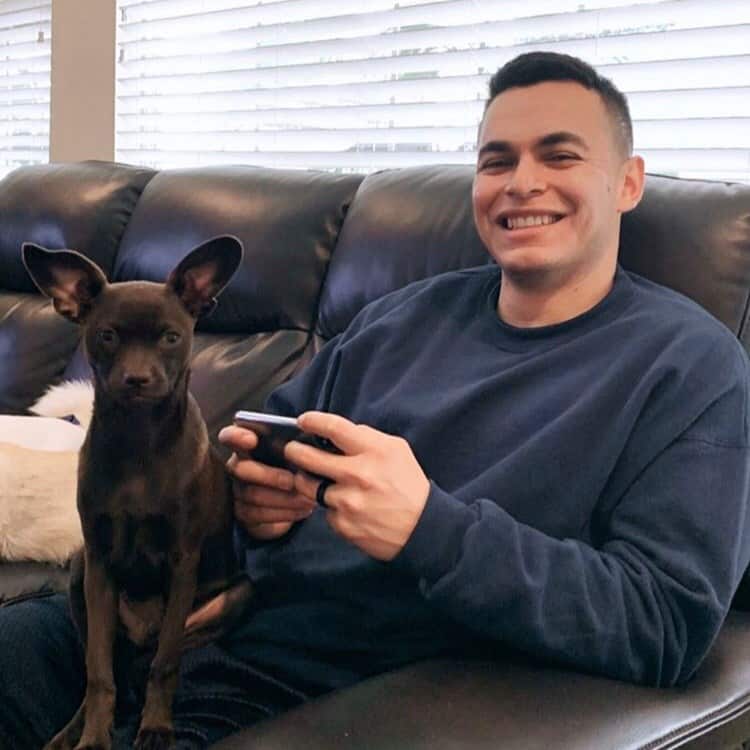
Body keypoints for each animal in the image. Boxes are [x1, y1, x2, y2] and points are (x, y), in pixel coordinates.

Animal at [22, 239, 253, 750]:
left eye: (171, 337)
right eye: (106, 335)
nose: (137, 380)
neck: (139, 441)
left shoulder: (183, 562)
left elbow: (165, 665)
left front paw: (156, 728)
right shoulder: (99, 563)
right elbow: (98, 672)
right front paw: (92, 737)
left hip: (234, 597)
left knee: (152, 655)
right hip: (80, 574)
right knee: (111, 662)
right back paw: (69, 731)